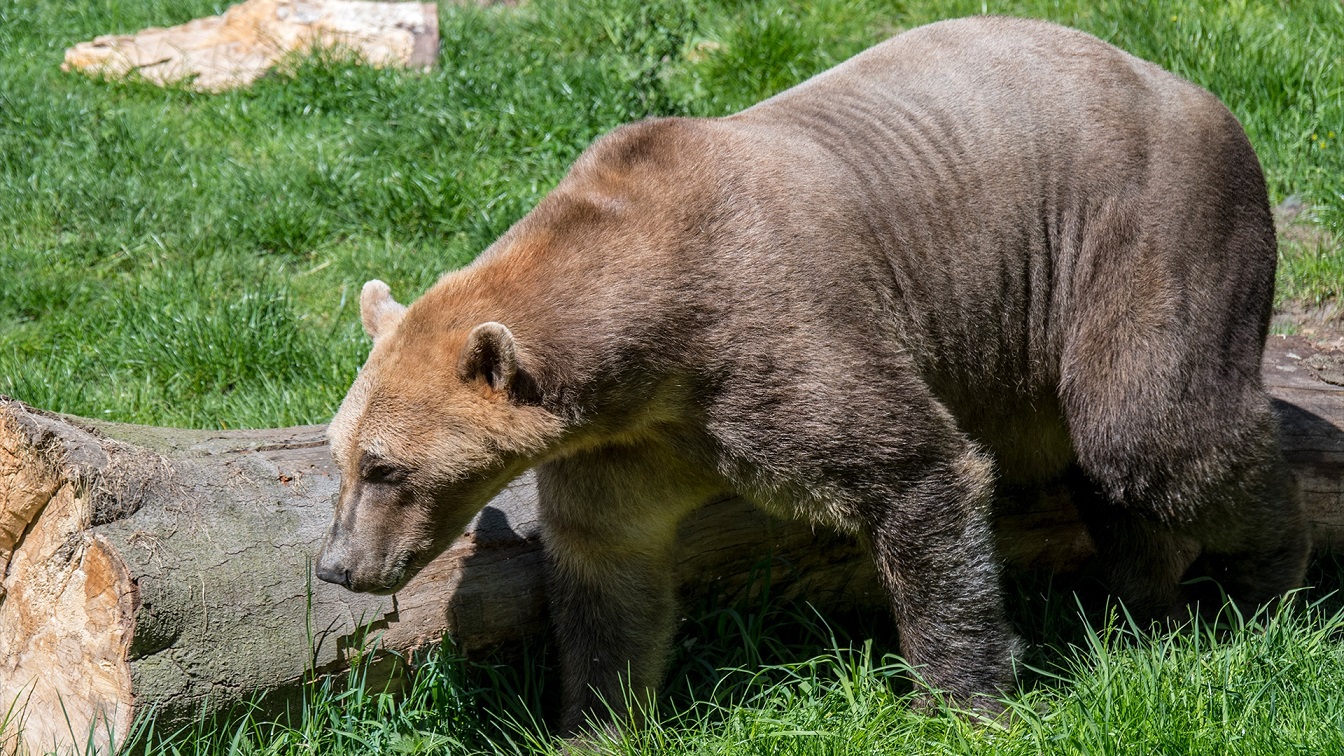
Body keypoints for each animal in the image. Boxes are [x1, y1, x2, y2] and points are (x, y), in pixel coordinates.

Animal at [311, 13, 1300, 731]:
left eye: (386, 468)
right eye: (341, 458)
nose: (337, 567)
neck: (650, 341)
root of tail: (1198, 92)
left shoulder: (774, 339)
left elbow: (917, 472)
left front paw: (958, 697)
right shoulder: (630, 442)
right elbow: (608, 570)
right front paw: (596, 717)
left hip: (1144, 235)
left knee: (1155, 436)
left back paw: (1271, 581)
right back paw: (1146, 599)